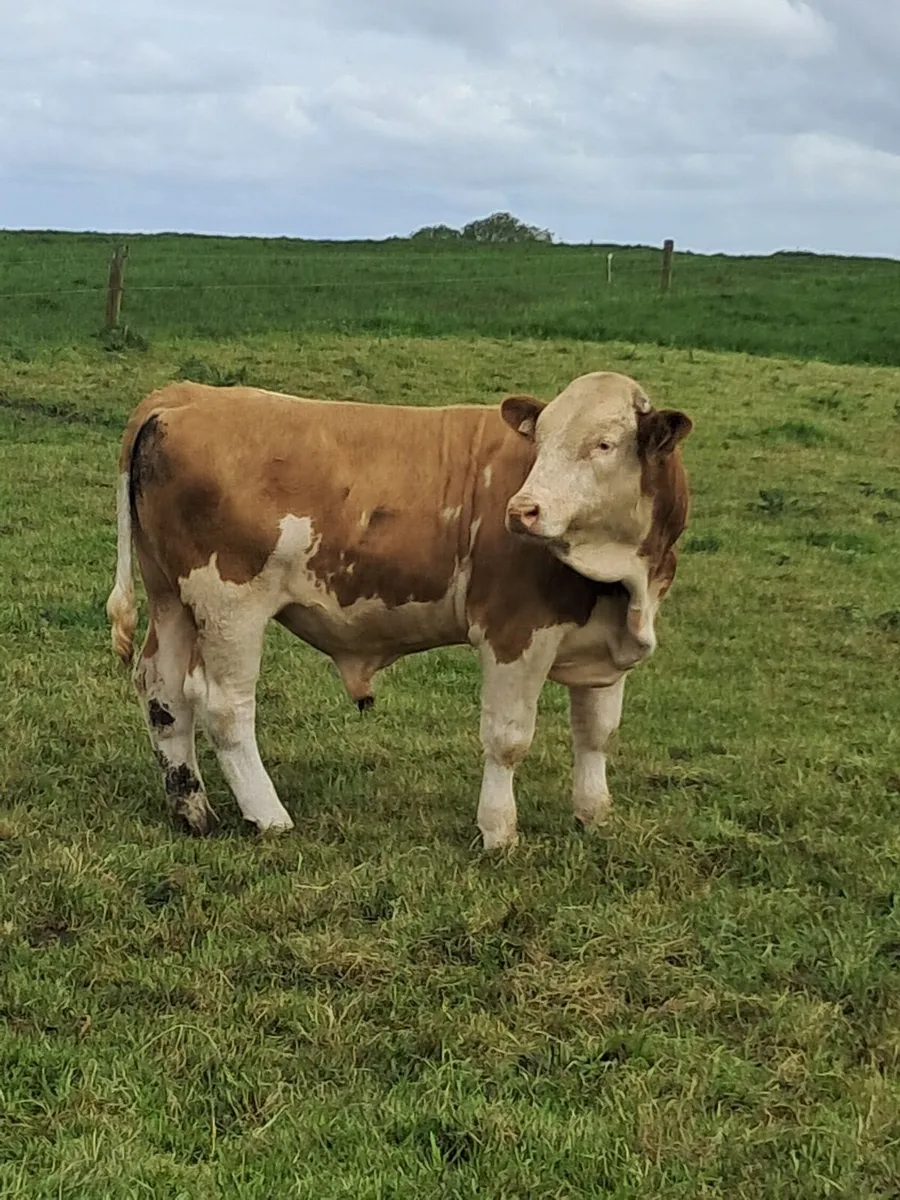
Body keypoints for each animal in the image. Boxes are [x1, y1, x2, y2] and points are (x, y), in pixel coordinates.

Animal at [106, 371, 691, 849]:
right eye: (540, 442)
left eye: (604, 444)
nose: (523, 510)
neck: (623, 583)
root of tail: (185, 395)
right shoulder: (513, 633)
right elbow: (507, 739)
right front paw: (498, 832)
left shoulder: (605, 646)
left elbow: (597, 734)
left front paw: (594, 816)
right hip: (230, 605)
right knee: (224, 706)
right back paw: (268, 815)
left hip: (171, 599)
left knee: (163, 691)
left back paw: (192, 809)